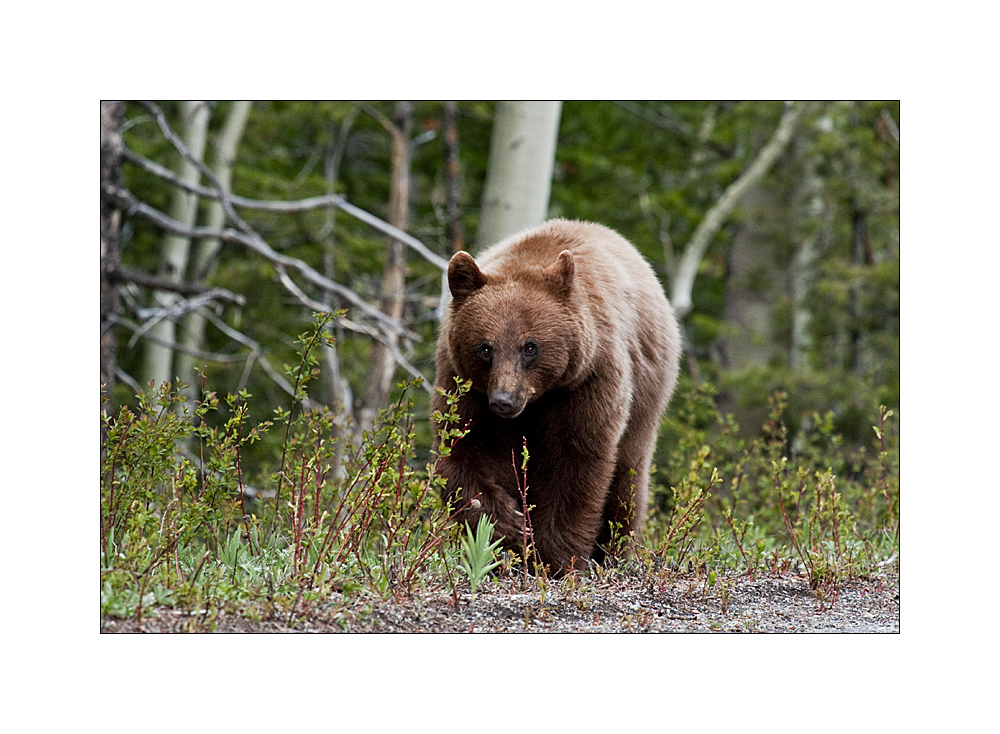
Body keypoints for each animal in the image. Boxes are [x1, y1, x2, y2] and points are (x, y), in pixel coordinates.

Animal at [430, 218, 680, 576]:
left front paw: (557, 559)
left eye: (530, 346)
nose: (504, 400)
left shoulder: (588, 380)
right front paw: (509, 528)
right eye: (485, 348)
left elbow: (576, 461)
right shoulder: (465, 386)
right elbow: (463, 447)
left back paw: (614, 552)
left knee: (627, 481)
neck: (537, 401)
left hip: (645, 400)